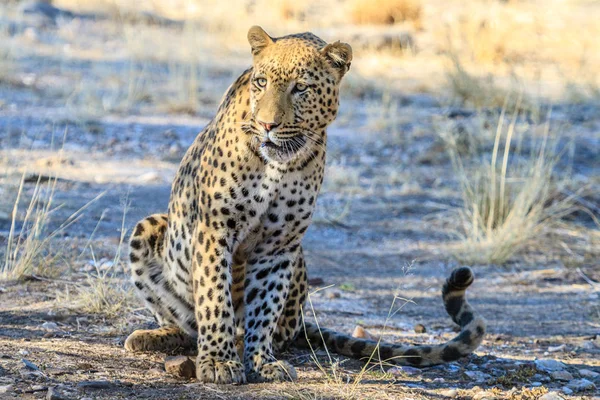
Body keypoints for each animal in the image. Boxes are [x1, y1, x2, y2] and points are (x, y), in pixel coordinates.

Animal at [124, 25, 486, 384]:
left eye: (301, 88)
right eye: (261, 82)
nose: (267, 125)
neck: (276, 165)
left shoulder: (279, 244)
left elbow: (264, 307)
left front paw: (259, 361)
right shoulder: (215, 229)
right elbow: (215, 298)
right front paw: (218, 361)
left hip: (297, 264)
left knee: (280, 329)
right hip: (149, 227)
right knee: (187, 325)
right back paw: (152, 337)